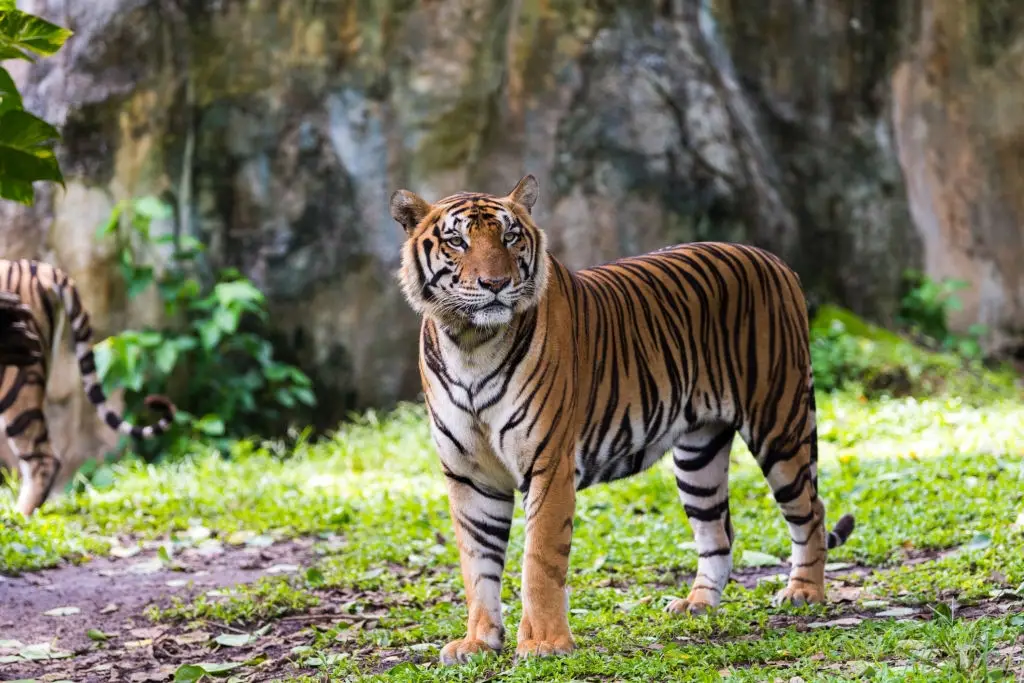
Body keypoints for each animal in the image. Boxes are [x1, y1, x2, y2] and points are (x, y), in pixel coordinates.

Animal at [389, 175, 856, 663]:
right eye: (457, 241)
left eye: (510, 236)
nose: (496, 283)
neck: (470, 344)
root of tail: (774, 260)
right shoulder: (469, 475)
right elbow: (477, 565)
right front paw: (479, 641)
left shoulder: (549, 465)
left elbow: (540, 559)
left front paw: (545, 643)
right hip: (699, 455)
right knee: (718, 531)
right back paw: (697, 604)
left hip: (779, 422)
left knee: (811, 511)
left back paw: (804, 592)